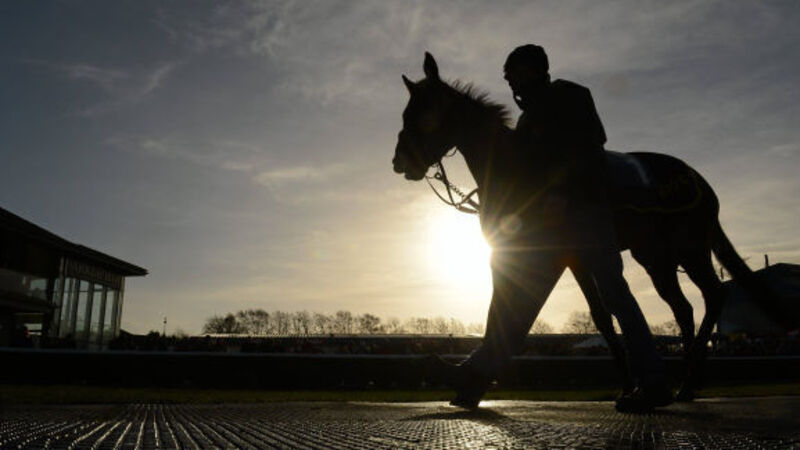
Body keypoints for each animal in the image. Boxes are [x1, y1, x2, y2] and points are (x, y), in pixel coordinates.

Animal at [393, 52, 783, 401]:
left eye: (419, 114)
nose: (399, 161)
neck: (517, 168)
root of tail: (697, 178)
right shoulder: (571, 258)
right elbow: (599, 317)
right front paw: (626, 385)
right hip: (655, 257)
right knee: (683, 308)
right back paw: (683, 384)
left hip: (690, 248)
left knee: (713, 295)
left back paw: (685, 383)